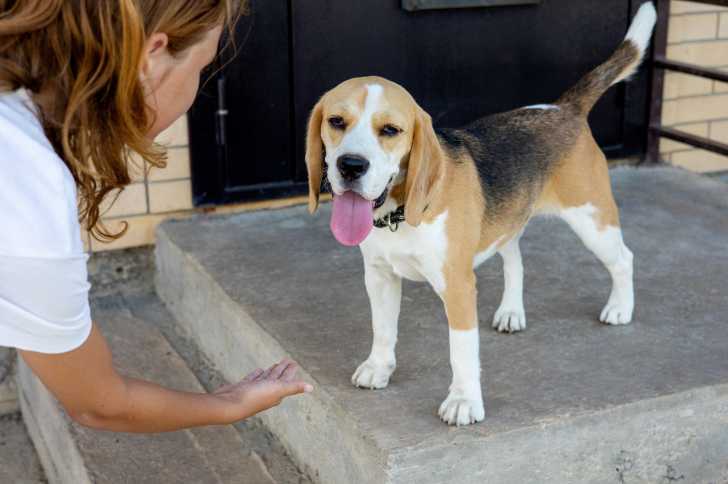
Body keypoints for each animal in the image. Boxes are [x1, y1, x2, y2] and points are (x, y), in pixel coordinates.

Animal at [305, 3, 656, 426]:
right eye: (336, 122)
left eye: (390, 130)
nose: (351, 166)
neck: (400, 216)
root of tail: (563, 108)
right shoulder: (379, 275)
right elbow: (383, 328)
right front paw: (379, 367)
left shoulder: (458, 287)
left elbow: (462, 352)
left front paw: (463, 401)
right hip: (509, 224)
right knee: (516, 260)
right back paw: (511, 311)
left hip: (592, 220)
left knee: (623, 258)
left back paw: (620, 307)